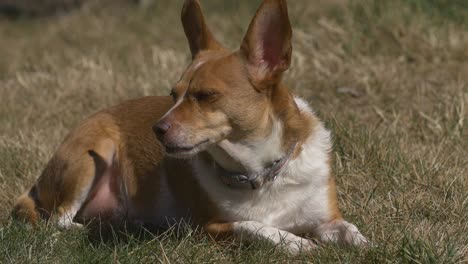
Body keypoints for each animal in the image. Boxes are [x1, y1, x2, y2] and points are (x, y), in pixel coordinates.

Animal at [12, 0, 368, 254]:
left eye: (205, 96)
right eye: (173, 94)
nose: (156, 129)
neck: (260, 173)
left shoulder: (327, 220)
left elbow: (351, 231)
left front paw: (359, 243)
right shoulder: (209, 227)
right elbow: (254, 227)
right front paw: (294, 242)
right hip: (93, 152)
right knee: (57, 220)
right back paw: (87, 229)